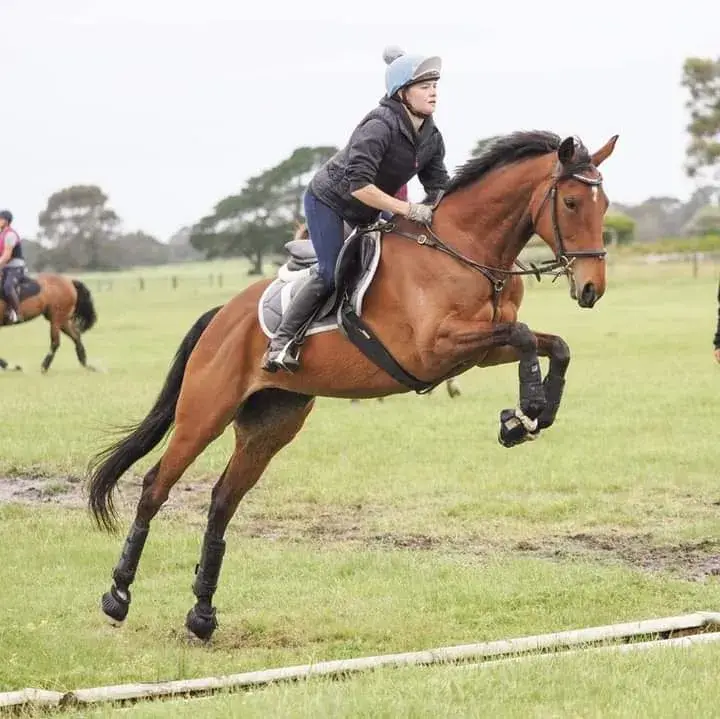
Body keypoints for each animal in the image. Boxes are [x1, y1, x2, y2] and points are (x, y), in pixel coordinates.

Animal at [88, 132, 620, 644]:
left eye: (606, 204)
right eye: (571, 202)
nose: (591, 289)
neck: (467, 250)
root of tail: (221, 315)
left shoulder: (480, 351)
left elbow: (554, 345)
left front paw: (530, 416)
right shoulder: (436, 348)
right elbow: (527, 335)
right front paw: (524, 413)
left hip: (271, 424)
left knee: (222, 501)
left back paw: (201, 615)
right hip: (204, 413)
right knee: (156, 487)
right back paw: (118, 596)